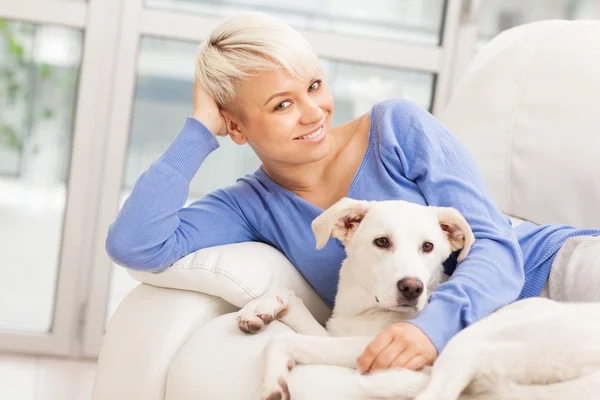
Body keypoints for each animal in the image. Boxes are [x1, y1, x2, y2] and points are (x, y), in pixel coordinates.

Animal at [234, 198, 600, 398]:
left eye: (428, 246)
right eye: (381, 242)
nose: (412, 288)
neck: (364, 308)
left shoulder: (375, 348)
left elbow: (280, 341)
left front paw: (271, 383)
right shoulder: (336, 333)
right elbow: (291, 300)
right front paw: (262, 307)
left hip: (479, 344)